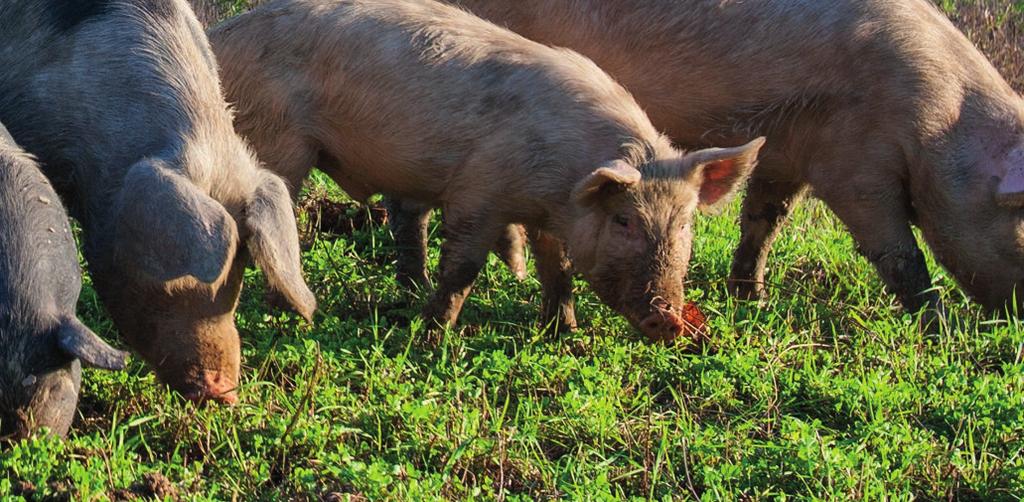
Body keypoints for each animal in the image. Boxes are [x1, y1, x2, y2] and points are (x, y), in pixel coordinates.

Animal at [211, 0, 765, 342]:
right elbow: (463, 267)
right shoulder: (479, 192)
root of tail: (221, 37)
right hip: (278, 140)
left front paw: (565, 332)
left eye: (685, 224)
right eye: (624, 220)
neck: (561, 182)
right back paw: (284, 309)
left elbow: (557, 268)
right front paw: (433, 334)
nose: (670, 320)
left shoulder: (546, 215)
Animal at [442, 0, 1024, 315]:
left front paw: (753, 298)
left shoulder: (787, 153)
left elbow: (763, 222)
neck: (937, 128)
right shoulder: (855, 162)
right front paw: (937, 323)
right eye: (1019, 224)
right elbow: (897, 252)